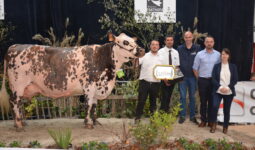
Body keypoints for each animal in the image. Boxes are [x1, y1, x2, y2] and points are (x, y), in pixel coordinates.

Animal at [0, 32, 144, 130]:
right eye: (125, 42)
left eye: (133, 41)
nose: (141, 50)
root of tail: (13, 47)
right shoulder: (89, 87)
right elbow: (88, 105)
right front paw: (88, 124)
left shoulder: (97, 88)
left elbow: (94, 106)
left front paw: (95, 121)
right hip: (17, 85)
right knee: (14, 102)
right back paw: (19, 124)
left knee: (18, 103)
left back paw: (22, 122)